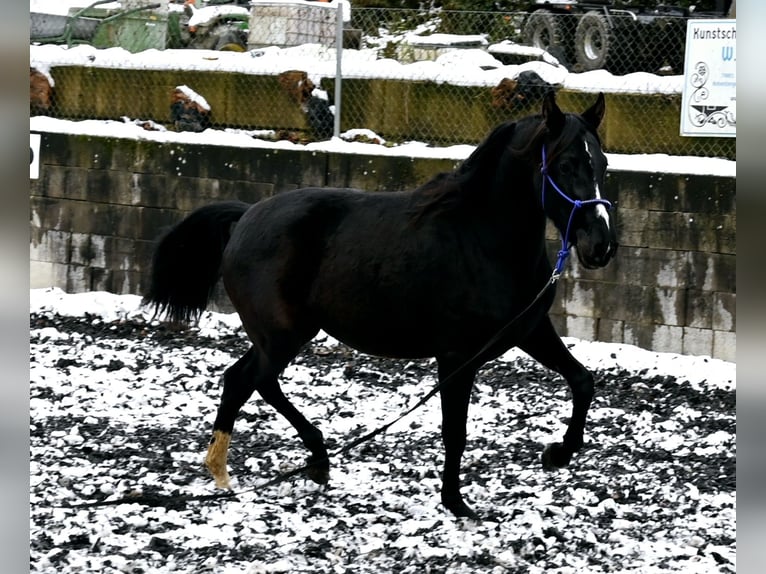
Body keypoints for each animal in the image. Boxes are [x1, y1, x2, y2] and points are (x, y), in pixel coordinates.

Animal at [147, 92, 620, 520]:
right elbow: (455, 431)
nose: (601, 246)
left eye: (603, 164)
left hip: (281, 335)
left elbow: (583, 381)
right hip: (281, 334)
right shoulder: (456, 356)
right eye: (563, 166)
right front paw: (457, 503)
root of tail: (245, 216)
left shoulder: (530, 330)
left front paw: (558, 453)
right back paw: (245, 468)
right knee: (252, 380)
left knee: (244, 380)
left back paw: (298, 463)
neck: (481, 239)